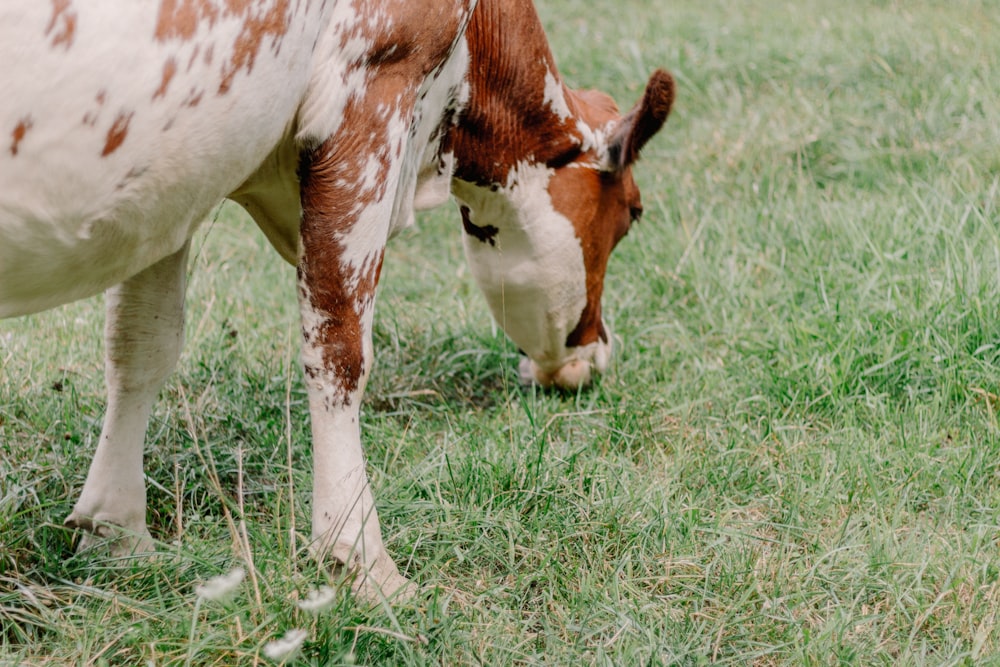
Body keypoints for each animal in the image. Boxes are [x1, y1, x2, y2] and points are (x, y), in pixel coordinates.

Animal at [0, 0, 676, 604]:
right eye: (634, 213)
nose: (598, 353)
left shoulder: (173, 185)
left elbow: (142, 345)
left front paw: (117, 532)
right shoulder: (373, 92)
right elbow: (339, 348)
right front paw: (363, 563)